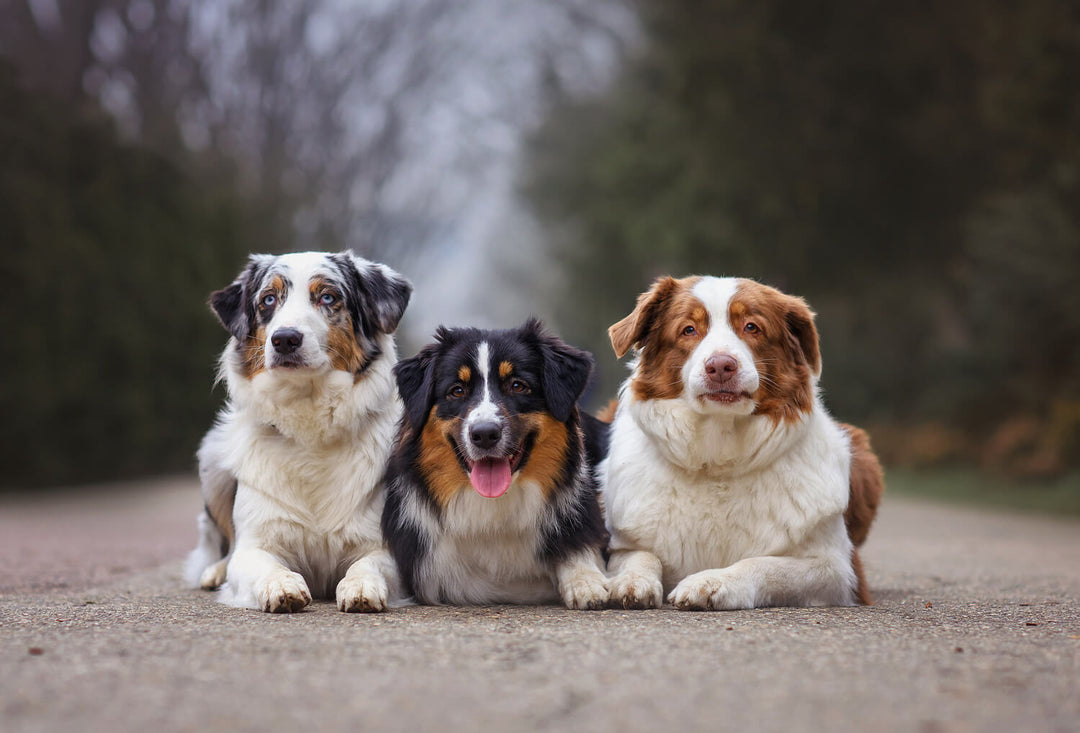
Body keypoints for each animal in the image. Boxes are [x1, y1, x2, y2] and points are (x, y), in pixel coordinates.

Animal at [604, 275, 881, 608]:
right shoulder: (622, 545)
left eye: (751, 327)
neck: (718, 458)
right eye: (688, 329)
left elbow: (764, 564)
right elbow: (640, 556)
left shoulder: (840, 572)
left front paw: (712, 581)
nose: (721, 366)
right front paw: (631, 581)